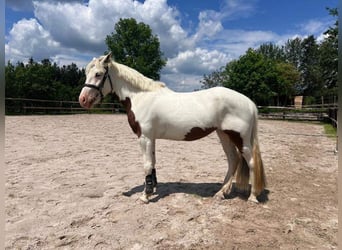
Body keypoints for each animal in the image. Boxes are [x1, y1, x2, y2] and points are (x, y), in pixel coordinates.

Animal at [79, 52, 266, 203]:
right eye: (86, 73)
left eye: (98, 74)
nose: (83, 100)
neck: (141, 97)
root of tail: (249, 103)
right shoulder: (151, 138)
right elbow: (153, 163)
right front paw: (152, 188)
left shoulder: (145, 137)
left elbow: (147, 164)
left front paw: (145, 196)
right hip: (224, 135)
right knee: (233, 160)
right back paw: (221, 193)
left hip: (239, 138)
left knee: (250, 162)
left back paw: (253, 197)